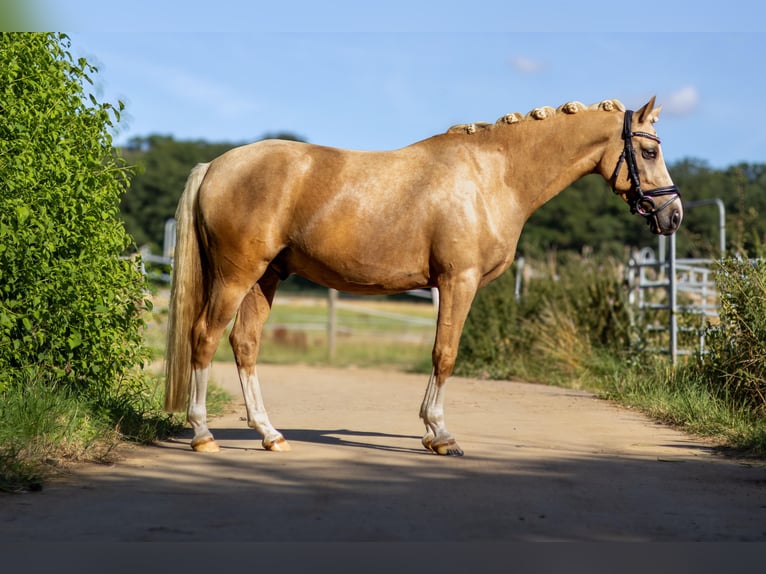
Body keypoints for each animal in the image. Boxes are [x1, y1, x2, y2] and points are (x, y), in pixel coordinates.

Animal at [164, 98, 684, 460]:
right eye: (648, 150)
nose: (673, 214)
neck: (493, 175)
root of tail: (215, 166)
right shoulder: (458, 282)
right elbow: (445, 354)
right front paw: (440, 435)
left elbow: (441, 353)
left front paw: (432, 432)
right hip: (236, 276)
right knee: (205, 336)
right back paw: (203, 435)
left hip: (265, 277)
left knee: (245, 344)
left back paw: (270, 435)